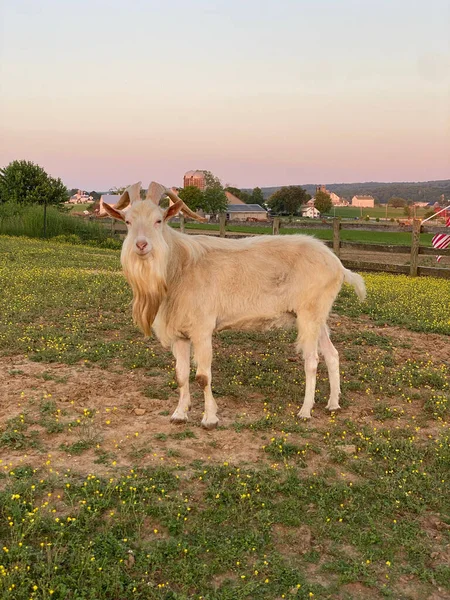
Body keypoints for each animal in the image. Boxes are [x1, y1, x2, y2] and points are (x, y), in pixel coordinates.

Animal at [103, 182, 368, 426]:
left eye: (159, 220)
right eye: (127, 221)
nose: (141, 245)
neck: (179, 267)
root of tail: (338, 265)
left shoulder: (202, 329)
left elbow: (202, 376)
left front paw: (209, 418)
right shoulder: (180, 333)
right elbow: (181, 375)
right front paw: (179, 414)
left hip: (309, 314)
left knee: (312, 361)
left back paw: (305, 411)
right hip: (318, 314)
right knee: (332, 354)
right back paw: (333, 404)